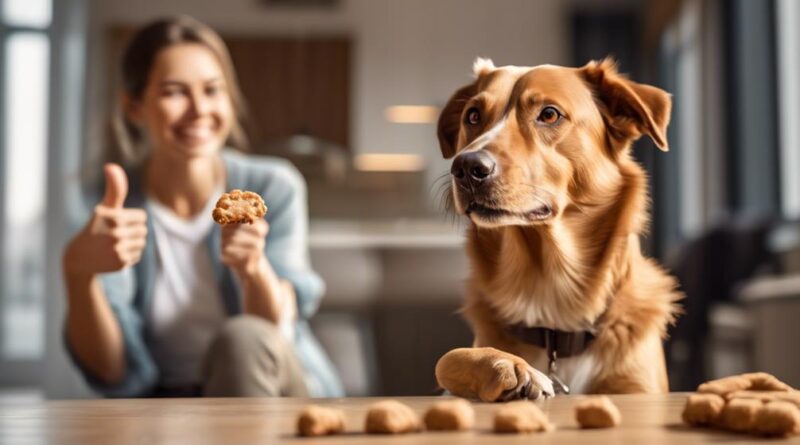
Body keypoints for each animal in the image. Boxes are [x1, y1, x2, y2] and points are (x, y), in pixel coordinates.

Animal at [434, 57, 684, 400]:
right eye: (473, 115)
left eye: (549, 114)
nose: (466, 166)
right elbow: (447, 359)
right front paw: (509, 367)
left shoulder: (640, 388)